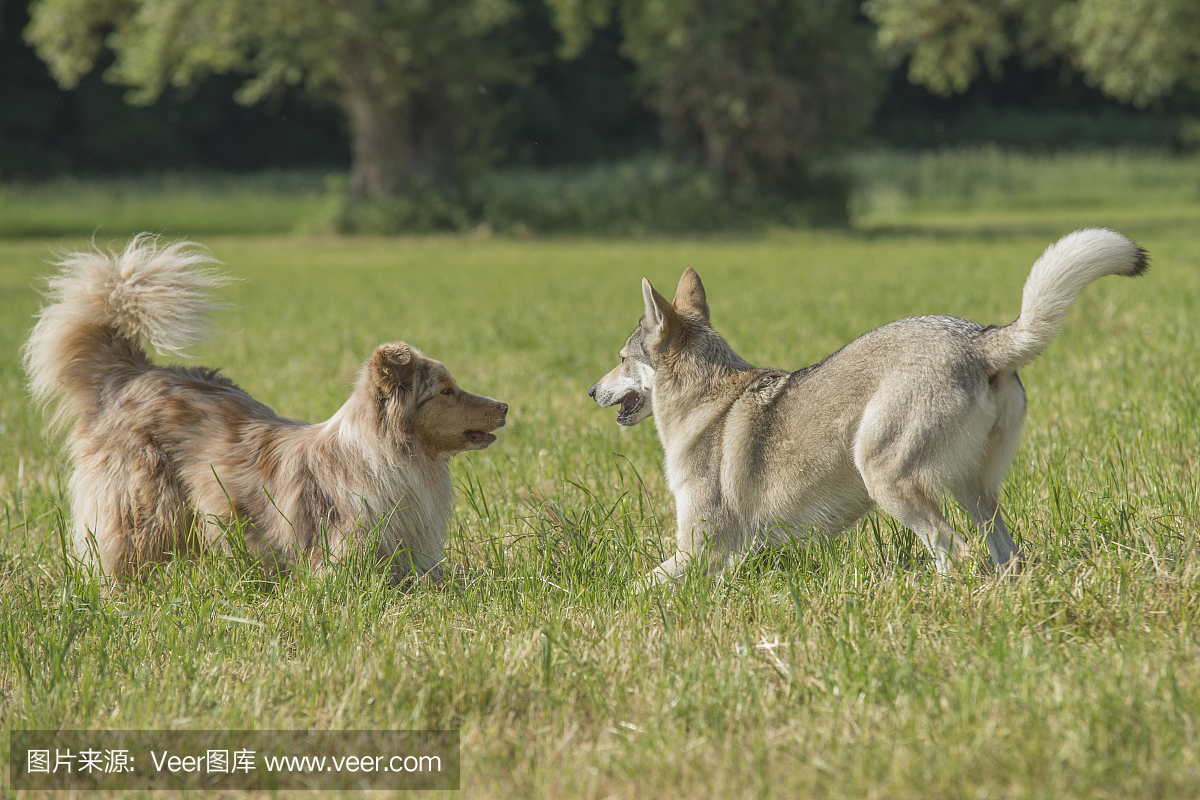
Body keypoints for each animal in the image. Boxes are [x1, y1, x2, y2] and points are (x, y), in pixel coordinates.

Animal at [27, 236, 506, 582]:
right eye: (445, 391)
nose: (505, 405)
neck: (389, 455)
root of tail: (133, 372)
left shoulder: (415, 558)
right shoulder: (340, 562)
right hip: (145, 509)